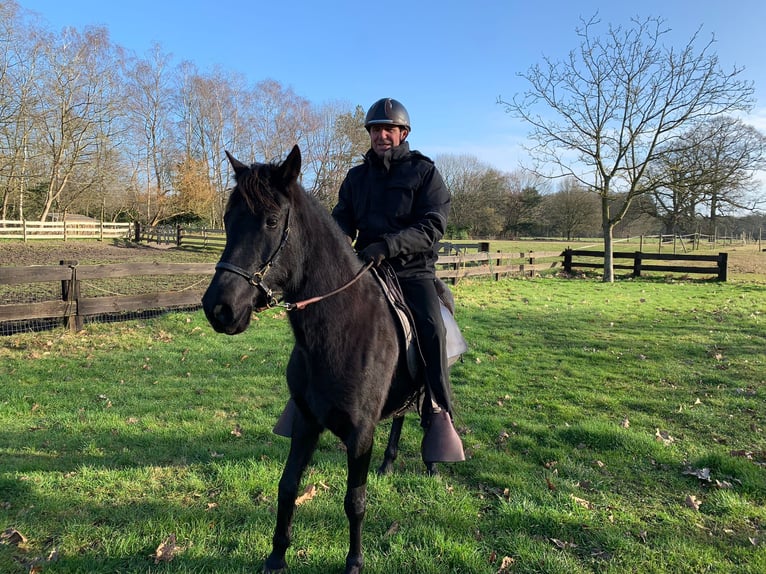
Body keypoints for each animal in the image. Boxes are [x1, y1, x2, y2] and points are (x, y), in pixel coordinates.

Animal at [201, 147, 460, 574]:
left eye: (271, 221)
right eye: (228, 220)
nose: (219, 308)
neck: (340, 329)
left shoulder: (359, 435)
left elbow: (355, 501)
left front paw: (353, 562)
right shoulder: (307, 423)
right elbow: (287, 486)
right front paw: (276, 556)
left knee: (427, 410)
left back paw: (433, 462)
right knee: (401, 415)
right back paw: (389, 464)